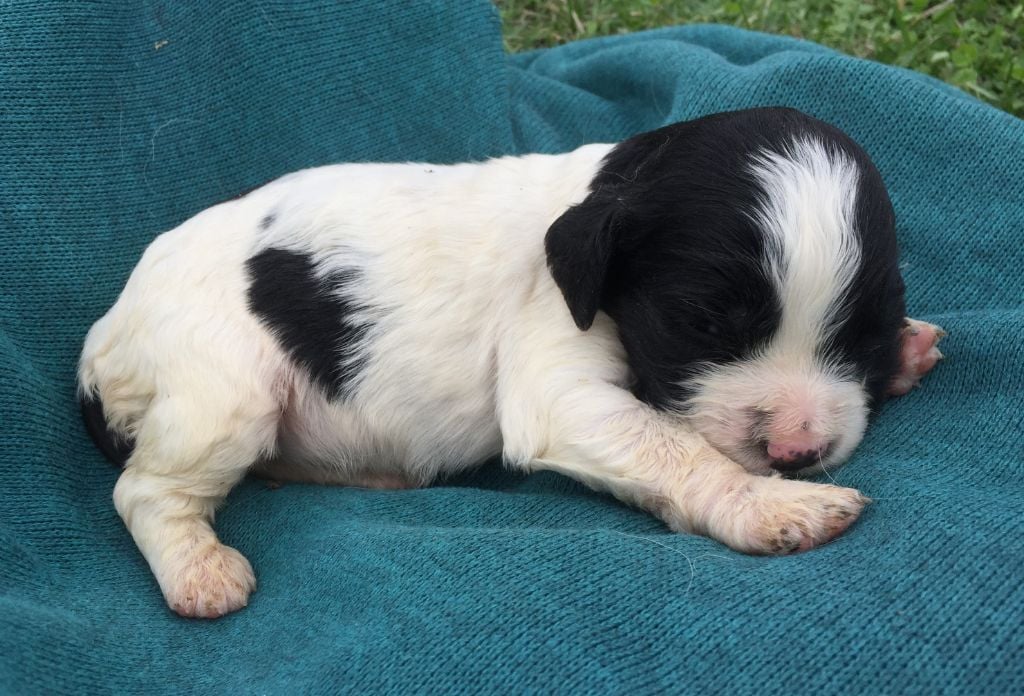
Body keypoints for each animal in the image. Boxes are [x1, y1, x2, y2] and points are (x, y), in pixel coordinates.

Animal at [77, 105, 942, 618]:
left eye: (862, 332)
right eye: (700, 324)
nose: (796, 450)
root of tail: (103, 337)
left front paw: (904, 351)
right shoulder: (558, 376)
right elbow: (678, 448)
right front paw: (773, 505)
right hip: (222, 391)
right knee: (144, 492)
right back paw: (199, 571)